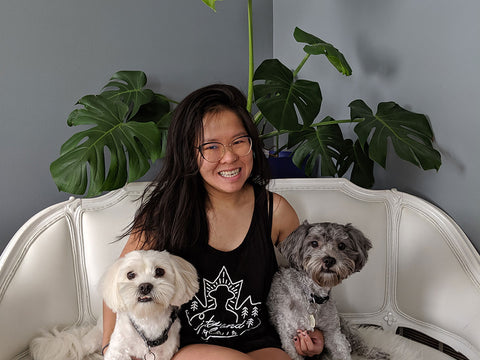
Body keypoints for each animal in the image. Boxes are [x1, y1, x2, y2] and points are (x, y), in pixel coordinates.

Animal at [30, 250, 199, 360]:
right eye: (130, 274)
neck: (147, 319)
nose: (145, 286)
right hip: (94, 339)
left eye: (159, 271)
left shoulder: (164, 354)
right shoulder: (117, 350)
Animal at [268, 221, 388, 358]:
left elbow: (342, 351)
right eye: (314, 243)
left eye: (341, 245)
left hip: (343, 325)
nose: (329, 260)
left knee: (357, 341)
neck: (312, 296)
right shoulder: (288, 337)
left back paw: (373, 352)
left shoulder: (333, 333)